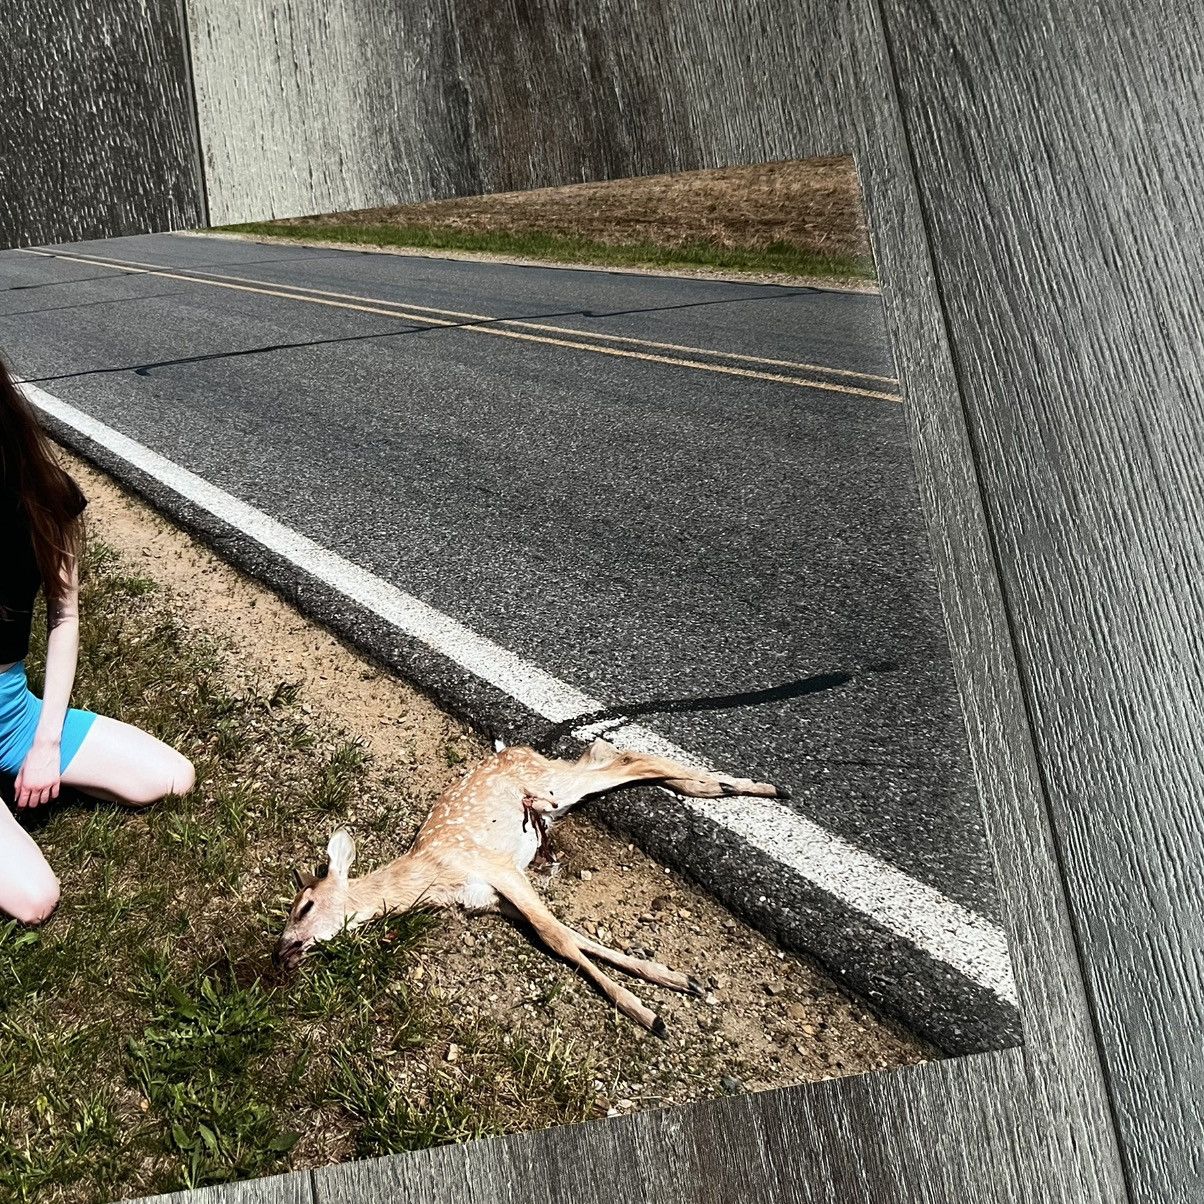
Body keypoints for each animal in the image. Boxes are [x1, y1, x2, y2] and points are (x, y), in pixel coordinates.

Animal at [274, 736, 785, 1034]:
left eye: (304, 906)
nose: (281, 953)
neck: (437, 877)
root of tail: (517, 749)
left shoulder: (498, 867)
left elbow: (557, 937)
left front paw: (647, 1014)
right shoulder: (497, 900)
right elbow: (570, 936)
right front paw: (677, 980)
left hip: (552, 785)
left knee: (625, 759)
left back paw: (752, 787)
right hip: (556, 787)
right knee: (606, 758)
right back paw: (720, 786)